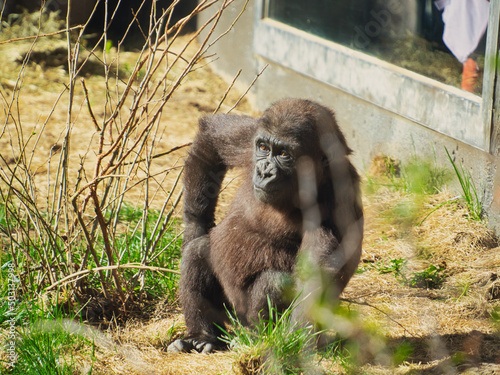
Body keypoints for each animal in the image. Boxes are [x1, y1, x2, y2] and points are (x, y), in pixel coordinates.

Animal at [168, 97, 364, 356]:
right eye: (263, 148)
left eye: (284, 154)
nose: (264, 172)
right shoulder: (250, 136)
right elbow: (210, 137)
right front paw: (195, 225)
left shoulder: (341, 194)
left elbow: (318, 276)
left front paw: (294, 342)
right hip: (230, 313)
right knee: (197, 252)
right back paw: (203, 335)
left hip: (244, 320)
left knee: (275, 282)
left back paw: (256, 336)